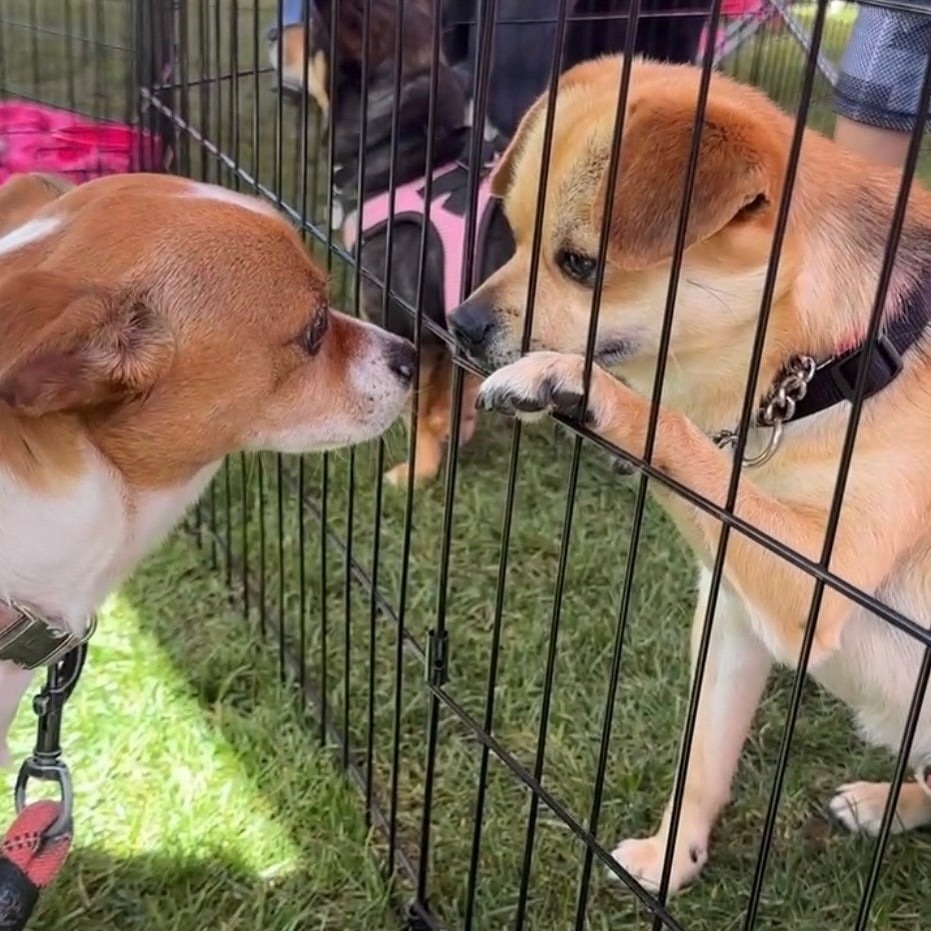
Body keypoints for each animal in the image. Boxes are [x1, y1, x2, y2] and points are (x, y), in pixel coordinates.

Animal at [448, 58, 931, 896]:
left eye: (581, 265)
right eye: (512, 236)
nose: (459, 325)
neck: (830, 364)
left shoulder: (812, 582)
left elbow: (667, 428)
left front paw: (574, 385)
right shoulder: (731, 610)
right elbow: (702, 757)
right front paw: (674, 854)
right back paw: (885, 800)